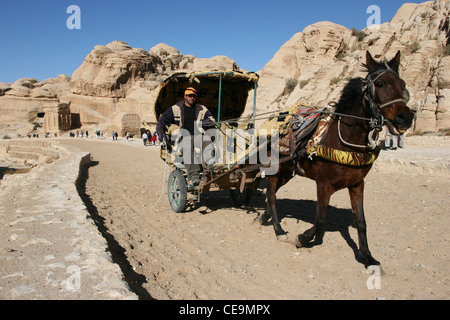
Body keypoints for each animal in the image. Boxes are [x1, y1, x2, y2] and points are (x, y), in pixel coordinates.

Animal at [260, 52, 414, 268]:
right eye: (380, 83)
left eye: (402, 83)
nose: (405, 118)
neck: (345, 140)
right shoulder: (323, 184)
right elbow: (320, 220)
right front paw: (303, 238)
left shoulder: (357, 184)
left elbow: (361, 221)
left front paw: (367, 256)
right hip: (275, 170)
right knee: (272, 196)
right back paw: (279, 230)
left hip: (288, 171)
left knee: (270, 194)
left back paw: (265, 216)